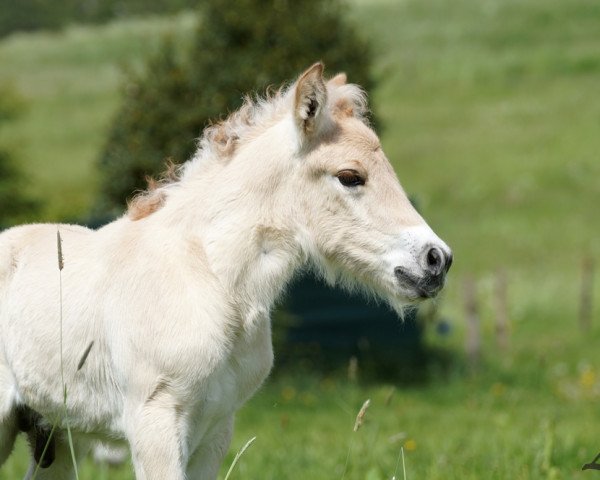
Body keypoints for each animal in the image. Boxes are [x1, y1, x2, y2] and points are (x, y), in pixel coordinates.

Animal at [0, 63, 450, 480]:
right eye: (350, 176)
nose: (437, 260)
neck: (206, 279)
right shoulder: (154, 425)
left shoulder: (216, 429)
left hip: (55, 436)